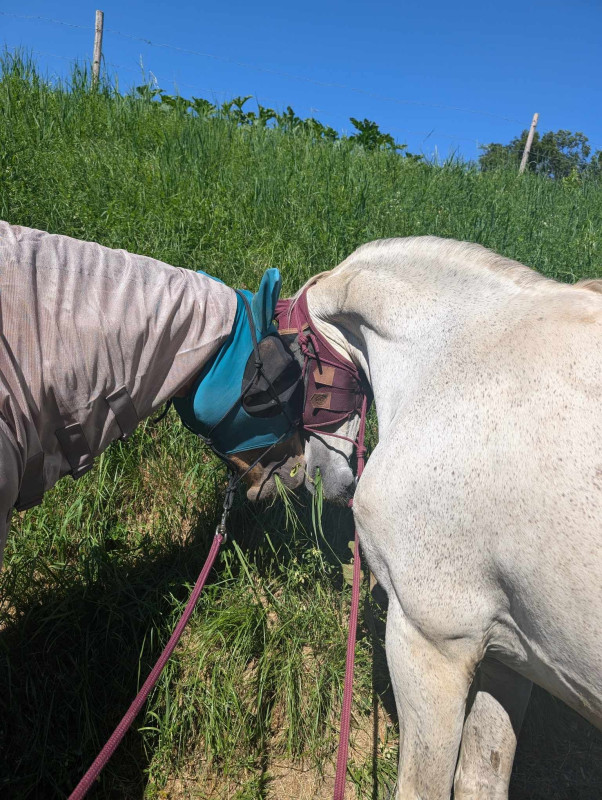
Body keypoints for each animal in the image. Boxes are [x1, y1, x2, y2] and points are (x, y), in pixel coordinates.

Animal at [292, 236, 602, 799]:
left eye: (293, 370)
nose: (319, 478)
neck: (450, 352)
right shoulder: (509, 654)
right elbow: (482, 776)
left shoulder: (430, 640)